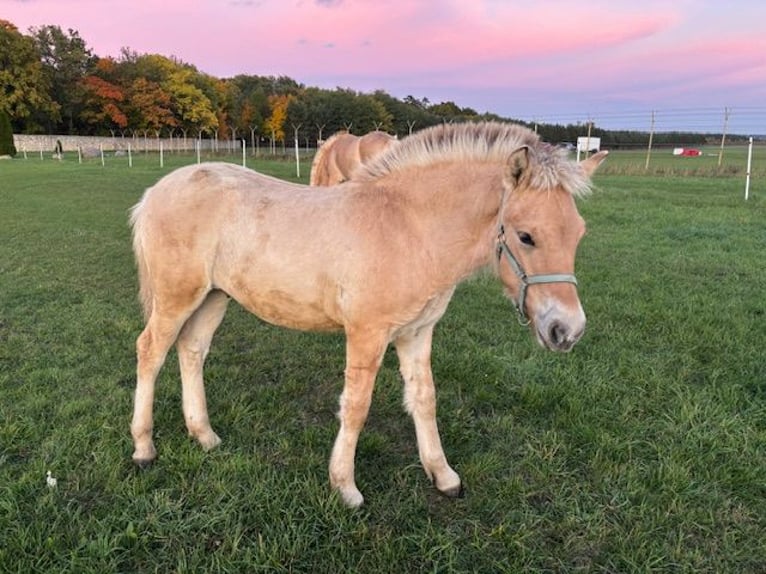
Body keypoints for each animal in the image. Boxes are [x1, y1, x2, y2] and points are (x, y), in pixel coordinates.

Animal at [129, 121, 607, 507]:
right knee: (150, 351)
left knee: (192, 350)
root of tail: (155, 192)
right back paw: (144, 447)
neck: (410, 228)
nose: (567, 330)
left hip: (213, 296)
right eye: (526, 236)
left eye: (580, 233)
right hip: (177, 296)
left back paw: (205, 436)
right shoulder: (367, 333)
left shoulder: (417, 332)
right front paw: (345, 487)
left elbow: (424, 399)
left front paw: (444, 476)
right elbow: (356, 406)